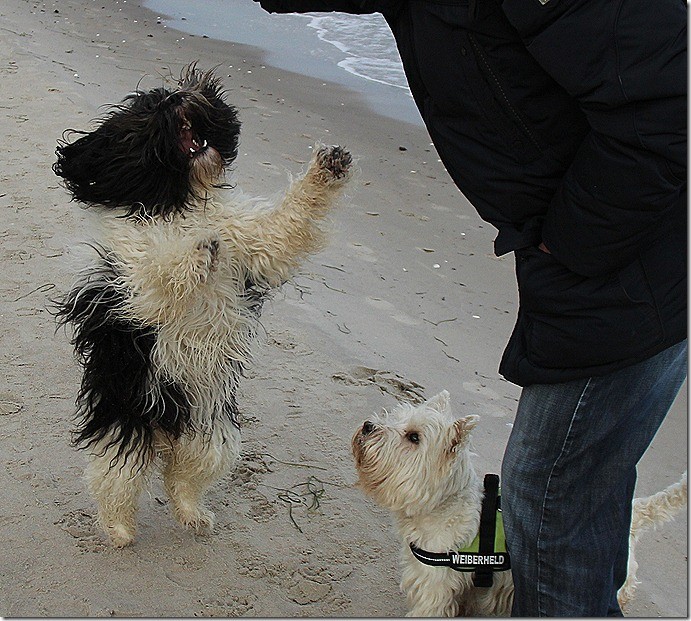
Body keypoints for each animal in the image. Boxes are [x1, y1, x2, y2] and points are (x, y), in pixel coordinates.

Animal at [52, 65, 352, 544]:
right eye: (150, 109)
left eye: (170, 95)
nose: (180, 98)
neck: (177, 202)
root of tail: (165, 429)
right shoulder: (132, 286)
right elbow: (161, 270)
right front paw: (195, 250)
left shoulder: (255, 243)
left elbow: (285, 225)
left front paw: (329, 166)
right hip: (125, 429)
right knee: (116, 483)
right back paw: (119, 531)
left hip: (211, 437)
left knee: (182, 480)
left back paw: (193, 515)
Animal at [354, 390, 688, 616]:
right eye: (394, 417)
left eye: (413, 437)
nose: (367, 426)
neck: (443, 505)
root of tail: (633, 514)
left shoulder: (435, 583)